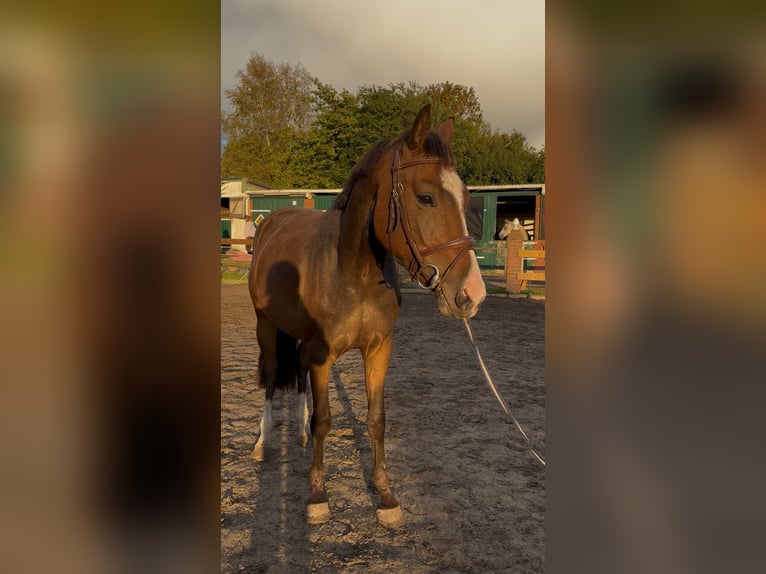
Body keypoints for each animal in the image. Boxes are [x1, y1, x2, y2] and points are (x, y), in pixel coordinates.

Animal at [248, 104, 487, 529]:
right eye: (426, 197)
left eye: (465, 196)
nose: (472, 293)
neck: (351, 271)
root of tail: (273, 219)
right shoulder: (322, 353)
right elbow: (324, 420)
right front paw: (317, 496)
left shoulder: (378, 350)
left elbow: (376, 419)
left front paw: (386, 496)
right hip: (267, 326)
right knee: (274, 376)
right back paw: (264, 442)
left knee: (299, 378)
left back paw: (298, 435)